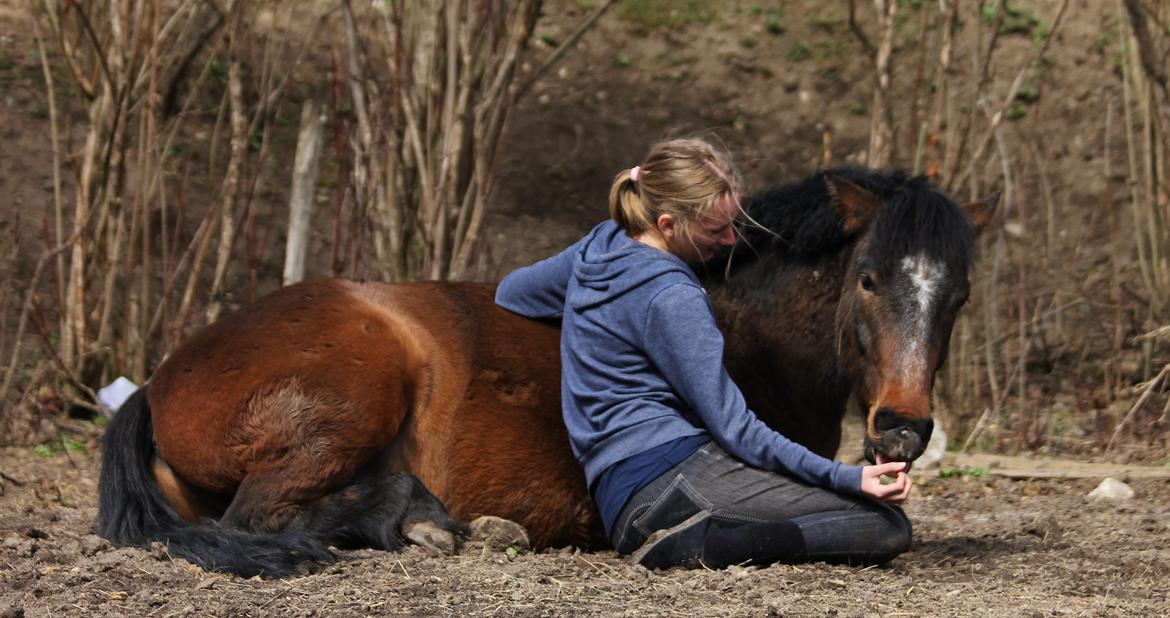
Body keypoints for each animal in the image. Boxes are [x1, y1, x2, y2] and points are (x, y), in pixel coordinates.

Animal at [98, 165, 996, 580]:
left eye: (958, 294)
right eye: (870, 279)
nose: (903, 433)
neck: (746, 333)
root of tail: (159, 382)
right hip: (355, 401)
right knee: (262, 517)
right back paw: (424, 523)